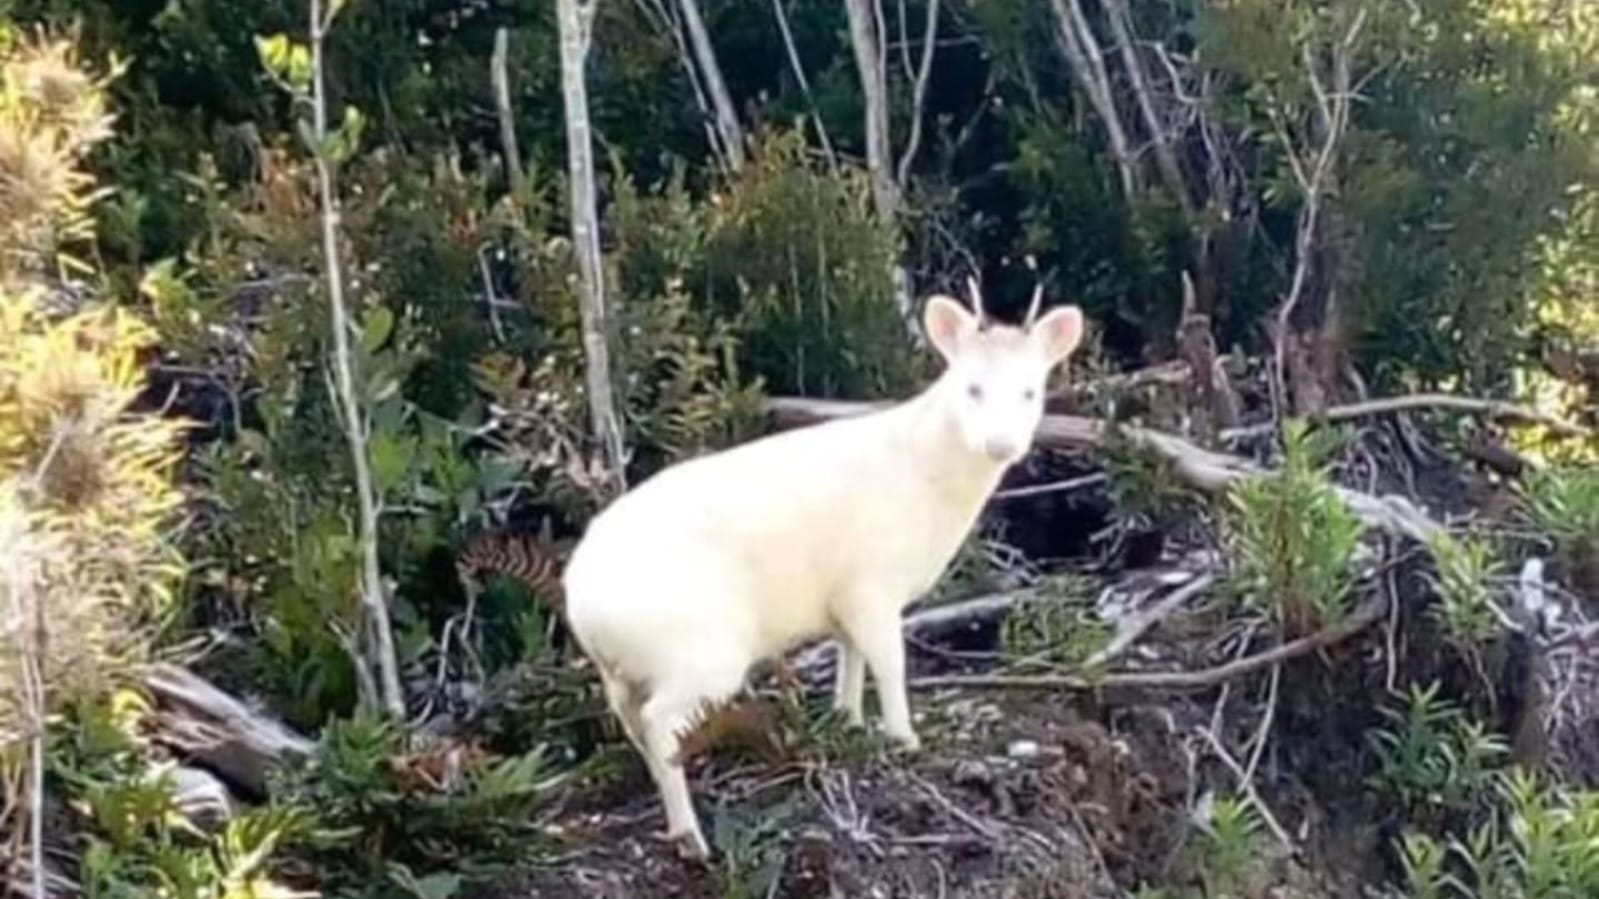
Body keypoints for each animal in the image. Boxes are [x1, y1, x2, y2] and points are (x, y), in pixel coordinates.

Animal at [561, 283, 1086, 859]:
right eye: (972, 388)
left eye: (1030, 392)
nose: (1001, 444)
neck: (928, 480)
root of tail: (579, 599)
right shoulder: (873, 582)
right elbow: (890, 664)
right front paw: (904, 738)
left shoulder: (843, 597)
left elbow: (849, 658)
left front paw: (848, 721)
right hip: (699, 651)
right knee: (660, 723)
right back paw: (692, 837)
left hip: (623, 673)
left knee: (634, 724)